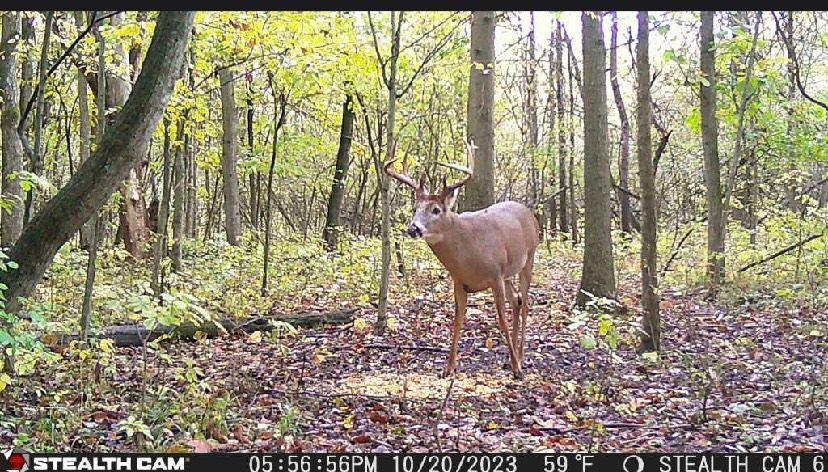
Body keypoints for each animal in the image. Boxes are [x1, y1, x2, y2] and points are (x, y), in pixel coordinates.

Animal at [384, 140, 539, 379]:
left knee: (525, 304)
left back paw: (519, 359)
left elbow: (501, 318)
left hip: (529, 258)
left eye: (436, 209)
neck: (468, 254)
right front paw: (448, 368)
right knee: (517, 301)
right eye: (415, 208)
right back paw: (510, 359)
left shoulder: (495, 274)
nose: (413, 228)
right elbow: (457, 320)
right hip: (508, 273)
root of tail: (530, 214)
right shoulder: (459, 281)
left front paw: (517, 369)